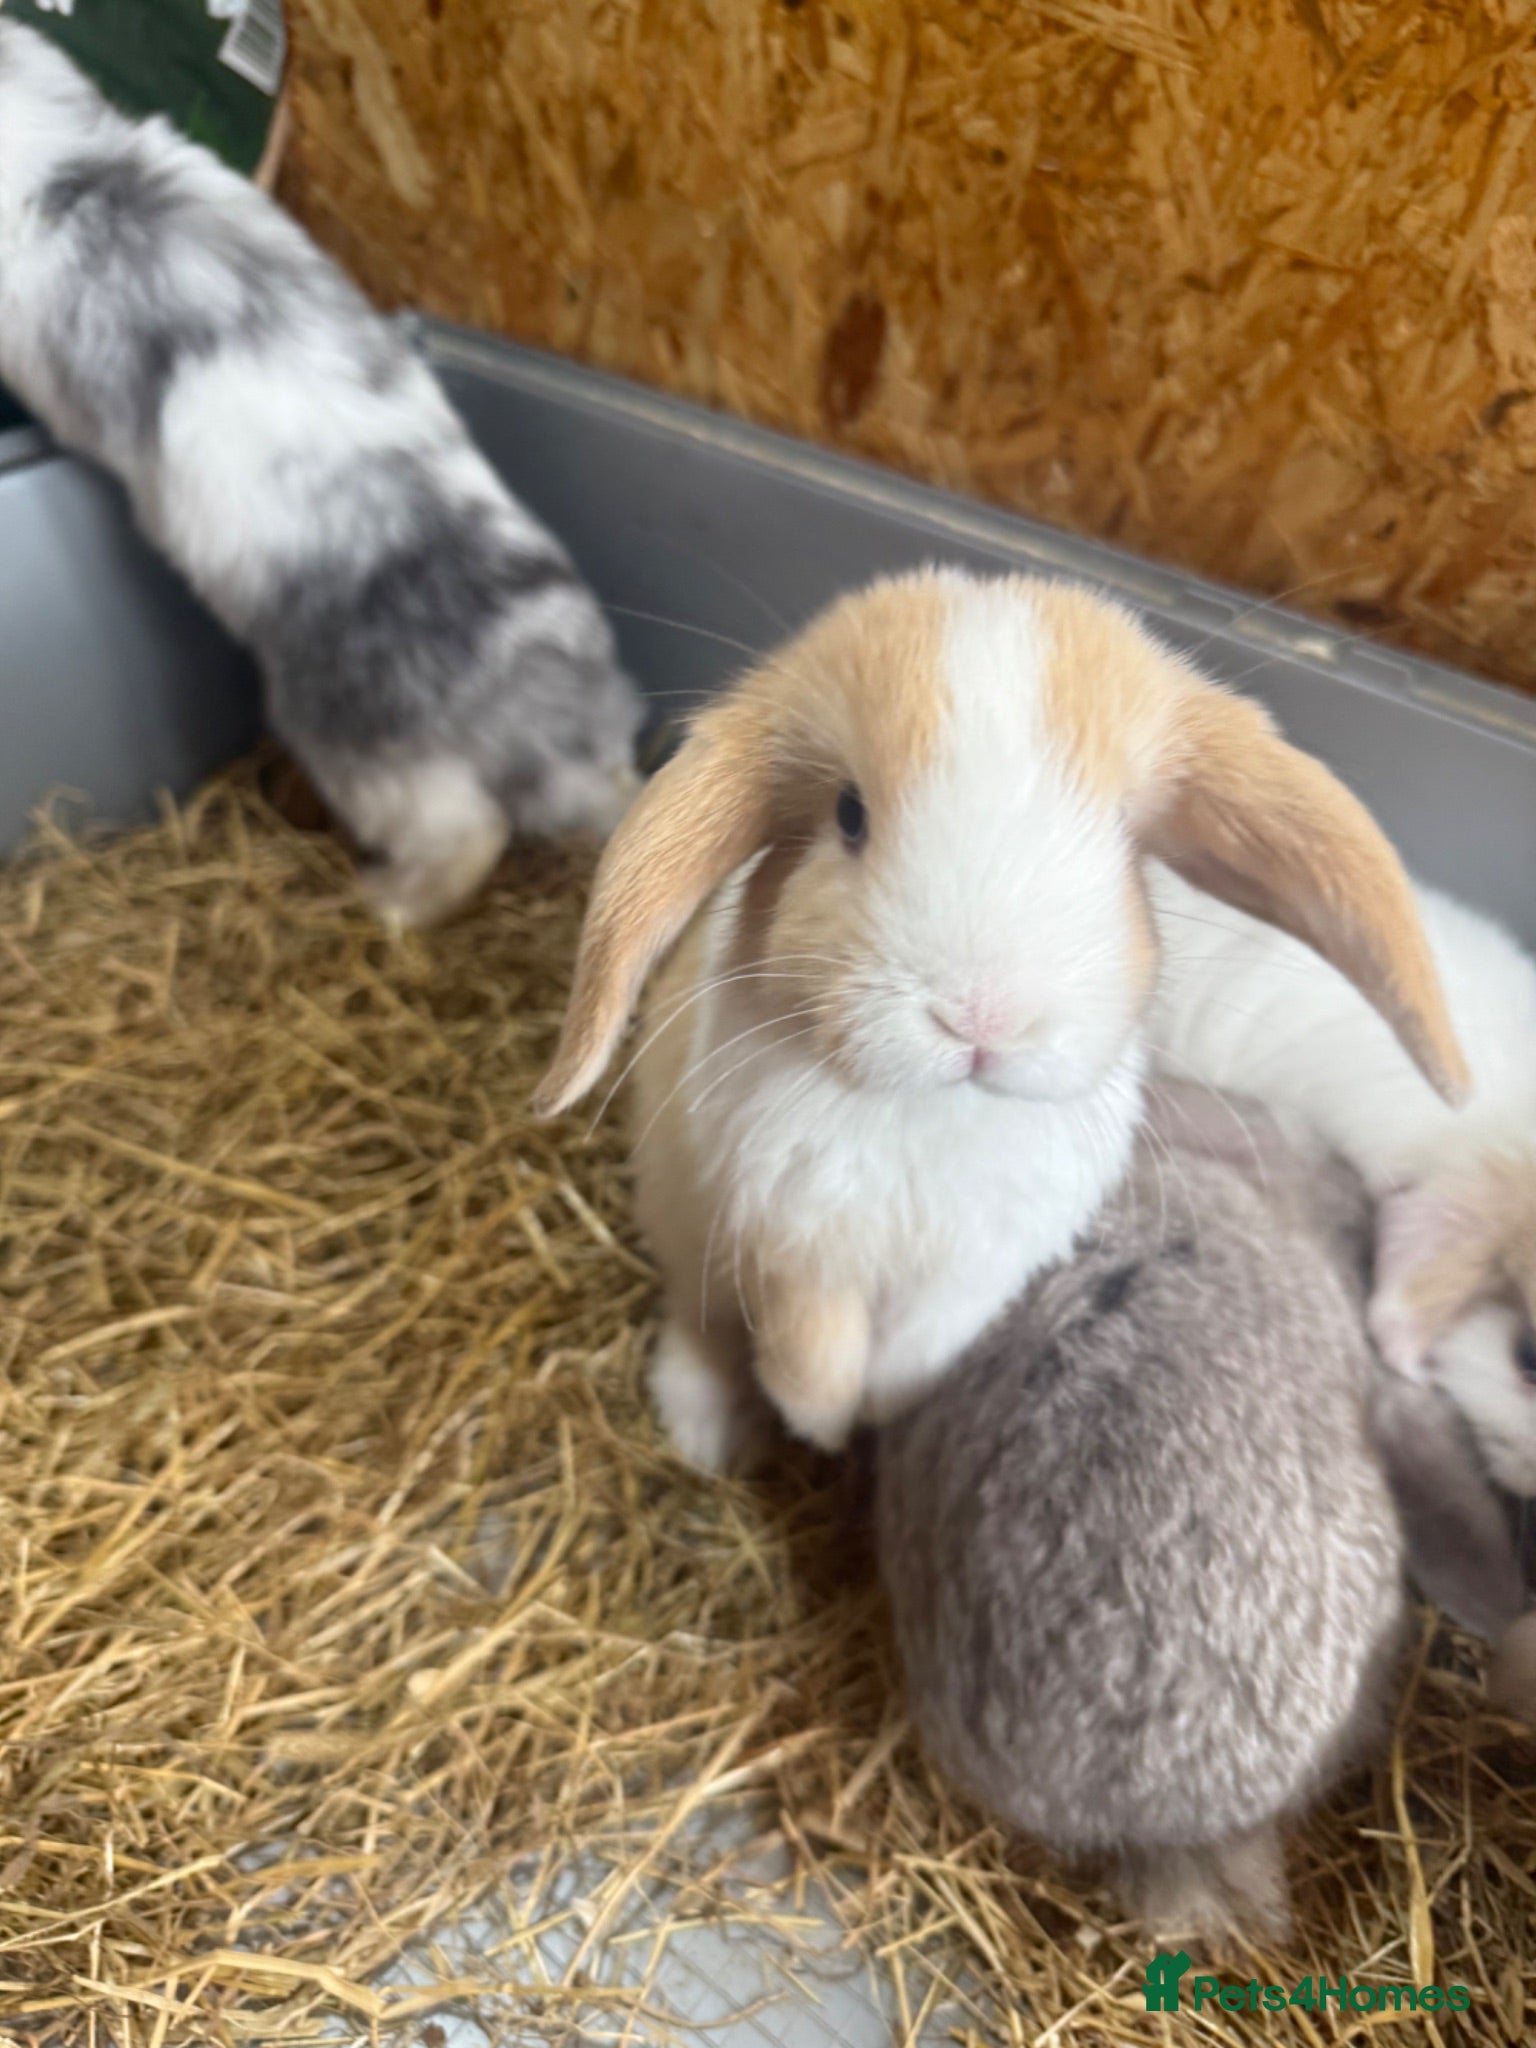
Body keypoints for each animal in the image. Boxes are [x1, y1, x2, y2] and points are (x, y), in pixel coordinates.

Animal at [535, 567, 1467, 1472]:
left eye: (1125, 843)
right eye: (848, 814)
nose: (981, 1018)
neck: (938, 1112)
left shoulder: (987, 1262)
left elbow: (923, 1342)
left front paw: (881, 1410)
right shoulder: (793, 1239)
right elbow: (809, 1347)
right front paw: (824, 1427)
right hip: (681, 1221)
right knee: (703, 1326)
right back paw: (705, 1432)